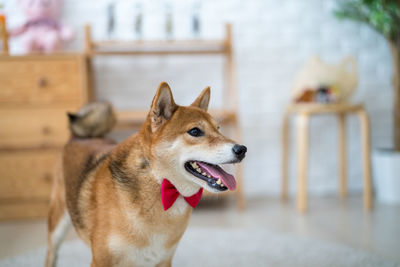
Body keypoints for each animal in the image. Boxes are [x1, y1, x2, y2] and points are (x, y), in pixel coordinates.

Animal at [46, 82, 247, 267]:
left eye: (218, 129)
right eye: (195, 131)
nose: (242, 149)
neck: (158, 185)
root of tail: (81, 136)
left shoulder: (162, 260)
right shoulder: (102, 261)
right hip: (57, 223)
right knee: (51, 254)